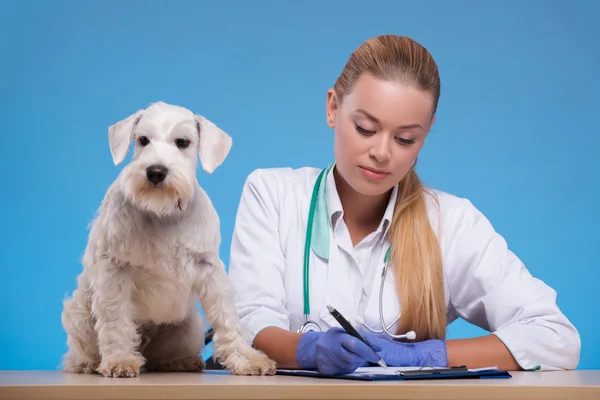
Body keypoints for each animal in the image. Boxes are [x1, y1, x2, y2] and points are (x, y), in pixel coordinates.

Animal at [61, 101, 276, 376]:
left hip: (187, 327)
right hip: (79, 314)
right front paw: (120, 360)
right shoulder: (114, 271)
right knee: (80, 351)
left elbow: (226, 317)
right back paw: (88, 364)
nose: (156, 171)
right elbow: (115, 320)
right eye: (142, 140)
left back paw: (181, 360)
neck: (162, 212)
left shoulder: (209, 267)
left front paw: (247, 359)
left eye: (183, 142)